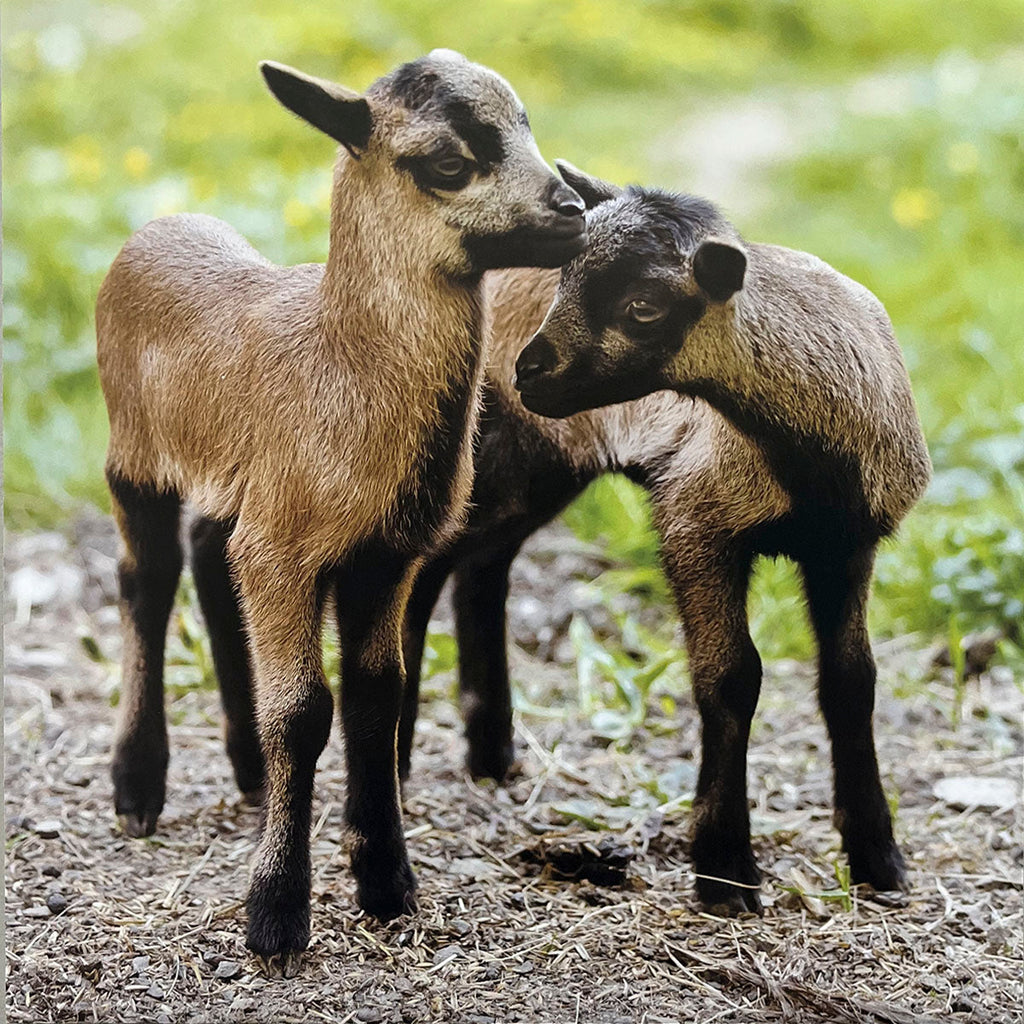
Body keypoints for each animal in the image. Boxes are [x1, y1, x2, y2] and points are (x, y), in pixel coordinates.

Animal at [96, 50, 585, 959]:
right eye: (448, 164)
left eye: (526, 123)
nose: (572, 210)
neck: (340, 360)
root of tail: (163, 223)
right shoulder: (289, 550)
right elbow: (302, 713)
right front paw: (276, 914)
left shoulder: (383, 555)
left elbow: (377, 695)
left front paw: (387, 882)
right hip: (134, 457)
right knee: (146, 581)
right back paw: (137, 787)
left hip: (238, 486)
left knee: (211, 559)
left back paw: (247, 774)